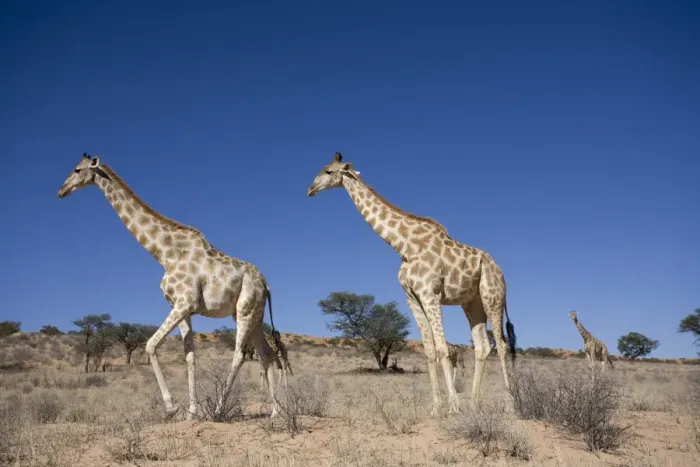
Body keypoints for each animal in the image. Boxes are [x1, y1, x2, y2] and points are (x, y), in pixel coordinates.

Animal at [57, 153, 282, 419]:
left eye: (77, 170)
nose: (61, 190)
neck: (163, 253)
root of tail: (266, 284)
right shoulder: (182, 307)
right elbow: (190, 356)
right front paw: (191, 413)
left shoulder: (185, 303)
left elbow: (151, 345)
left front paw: (172, 406)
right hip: (251, 314)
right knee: (267, 354)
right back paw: (276, 411)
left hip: (246, 310)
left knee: (240, 354)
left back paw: (219, 409)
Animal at [307, 152, 517, 414]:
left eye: (328, 171)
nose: (310, 189)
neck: (403, 245)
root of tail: (500, 270)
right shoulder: (412, 298)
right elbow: (429, 350)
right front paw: (436, 408)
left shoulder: (430, 294)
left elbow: (442, 348)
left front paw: (453, 407)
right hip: (471, 302)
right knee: (482, 346)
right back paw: (475, 405)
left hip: (492, 296)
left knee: (502, 344)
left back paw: (509, 406)